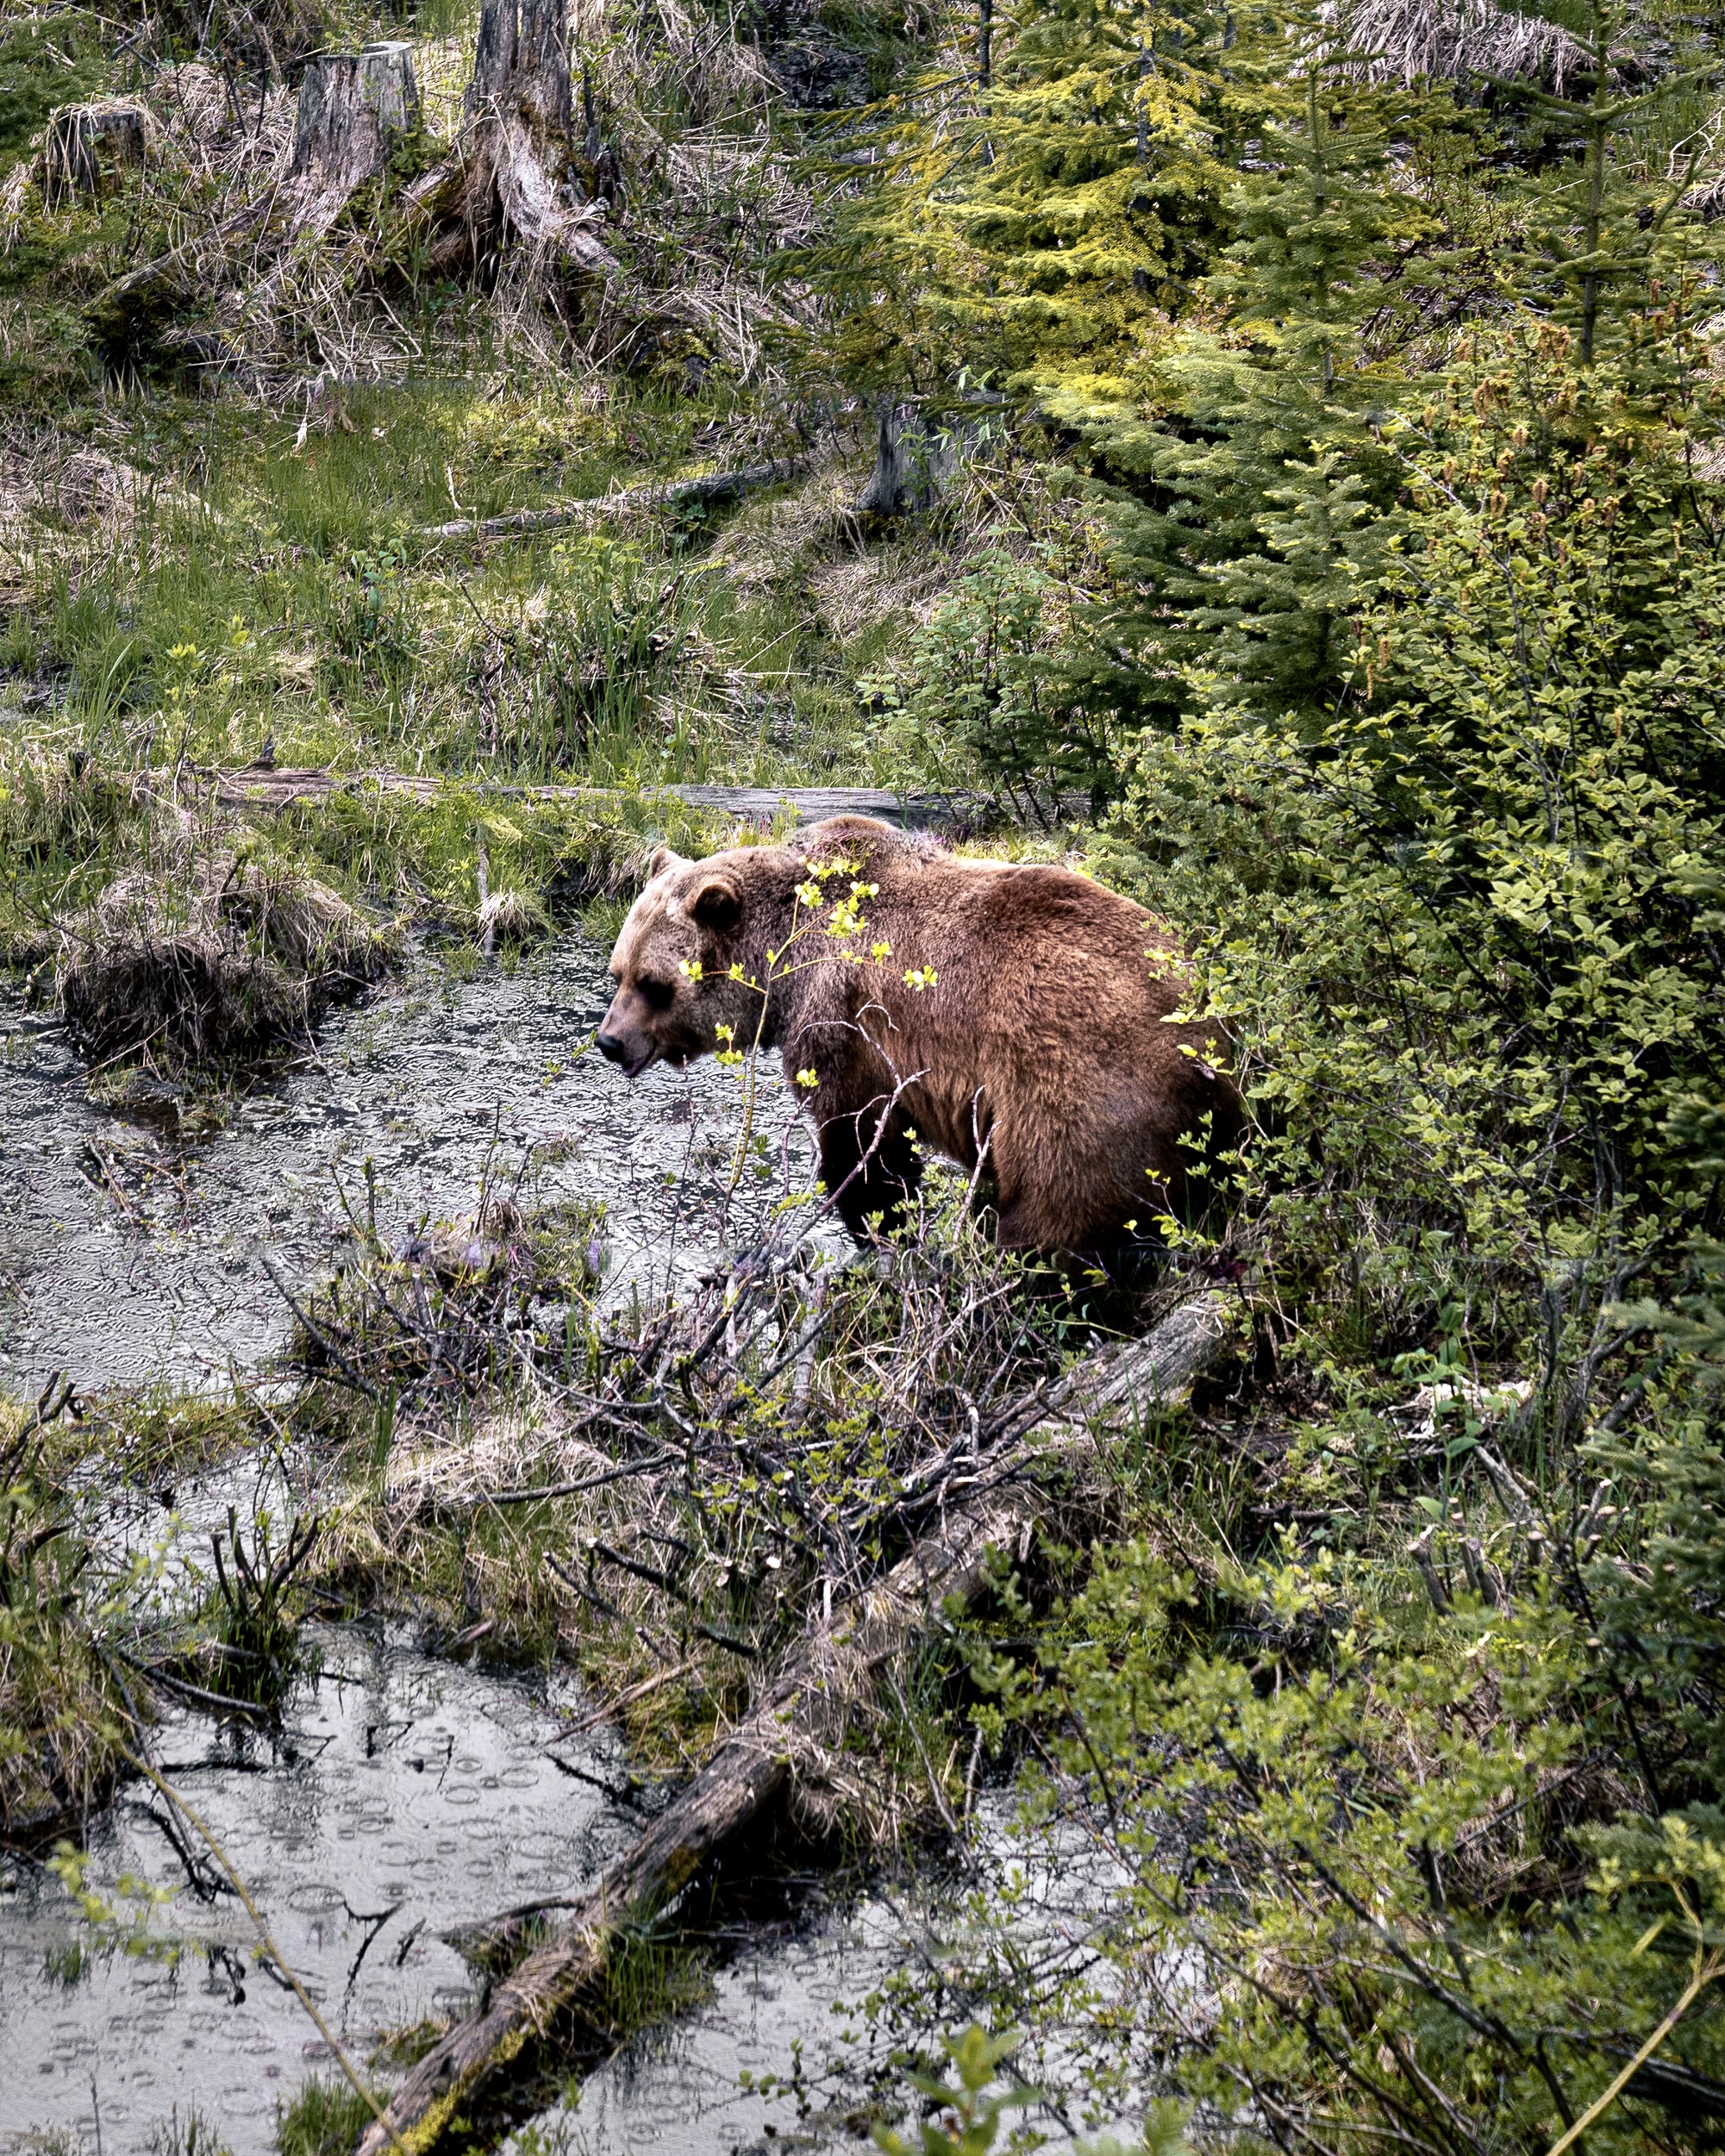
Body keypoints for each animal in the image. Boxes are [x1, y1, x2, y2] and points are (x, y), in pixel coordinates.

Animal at [595, 815, 1241, 1259]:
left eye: (653, 985)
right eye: (618, 971)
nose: (610, 1041)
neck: (785, 957)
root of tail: (1208, 1035)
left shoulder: (842, 1020)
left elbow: (861, 1142)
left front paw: (883, 1227)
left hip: (1076, 1091)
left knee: (1055, 1210)